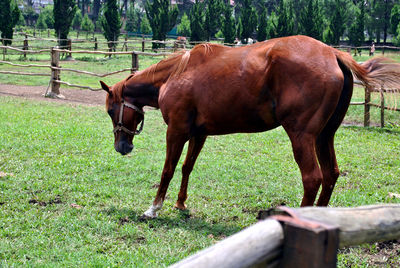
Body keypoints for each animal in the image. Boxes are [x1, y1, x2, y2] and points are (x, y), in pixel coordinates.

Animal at [99, 35, 400, 218]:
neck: (177, 73)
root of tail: (333, 54)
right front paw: (181, 202)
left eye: (111, 110)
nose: (121, 147)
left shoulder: (176, 131)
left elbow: (168, 169)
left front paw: (154, 208)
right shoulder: (199, 133)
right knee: (331, 174)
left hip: (302, 136)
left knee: (313, 178)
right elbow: (187, 167)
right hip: (325, 136)